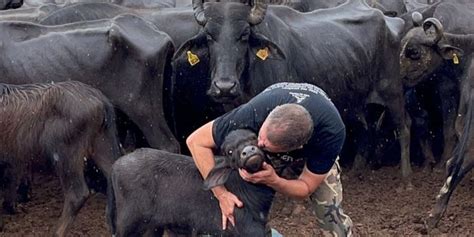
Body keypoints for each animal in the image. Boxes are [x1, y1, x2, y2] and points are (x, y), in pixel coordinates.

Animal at [106, 129, 272, 236]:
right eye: (230, 151)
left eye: (254, 138)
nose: (248, 151)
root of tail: (116, 165)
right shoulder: (249, 229)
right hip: (128, 223)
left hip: (154, 227)